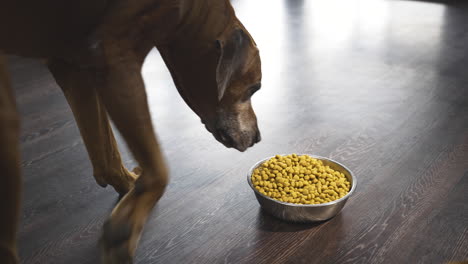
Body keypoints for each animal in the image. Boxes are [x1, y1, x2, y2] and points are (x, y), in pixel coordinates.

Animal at [0, 1, 264, 262]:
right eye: (254, 88)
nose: (258, 138)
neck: (194, 11)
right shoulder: (115, 60)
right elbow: (159, 170)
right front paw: (124, 227)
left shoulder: (74, 64)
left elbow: (106, 148)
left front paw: (128, 188)